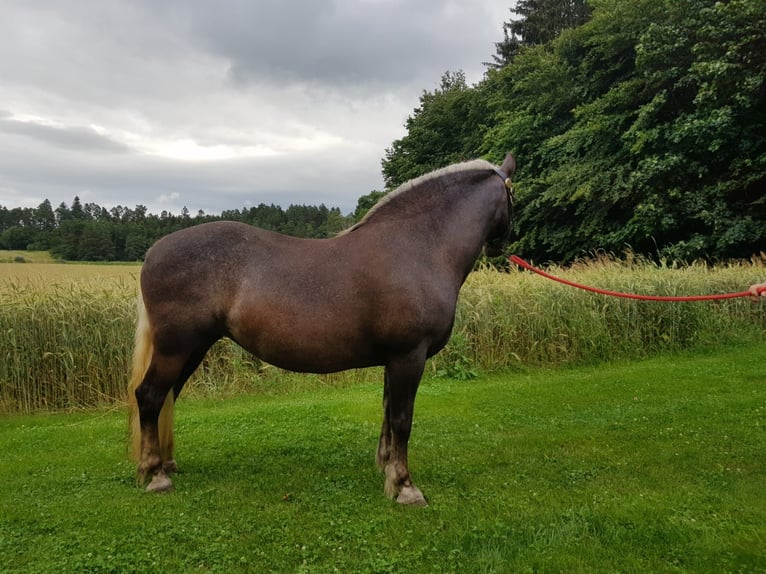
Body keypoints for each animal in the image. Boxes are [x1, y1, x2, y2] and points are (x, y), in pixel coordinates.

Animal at [129, 151, 520, 506]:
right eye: (513, 197)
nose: (503, 245)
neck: (417, 247)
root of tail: (153, 251)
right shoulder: (409, 356)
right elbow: (402, 420)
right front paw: (406, 487)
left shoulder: (394, 360)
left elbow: (387, 414)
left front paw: (387, 469)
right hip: (176, 347)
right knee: (149, 397)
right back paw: (156, 475)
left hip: (193, 349)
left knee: (167, 397)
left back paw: (166, 464)